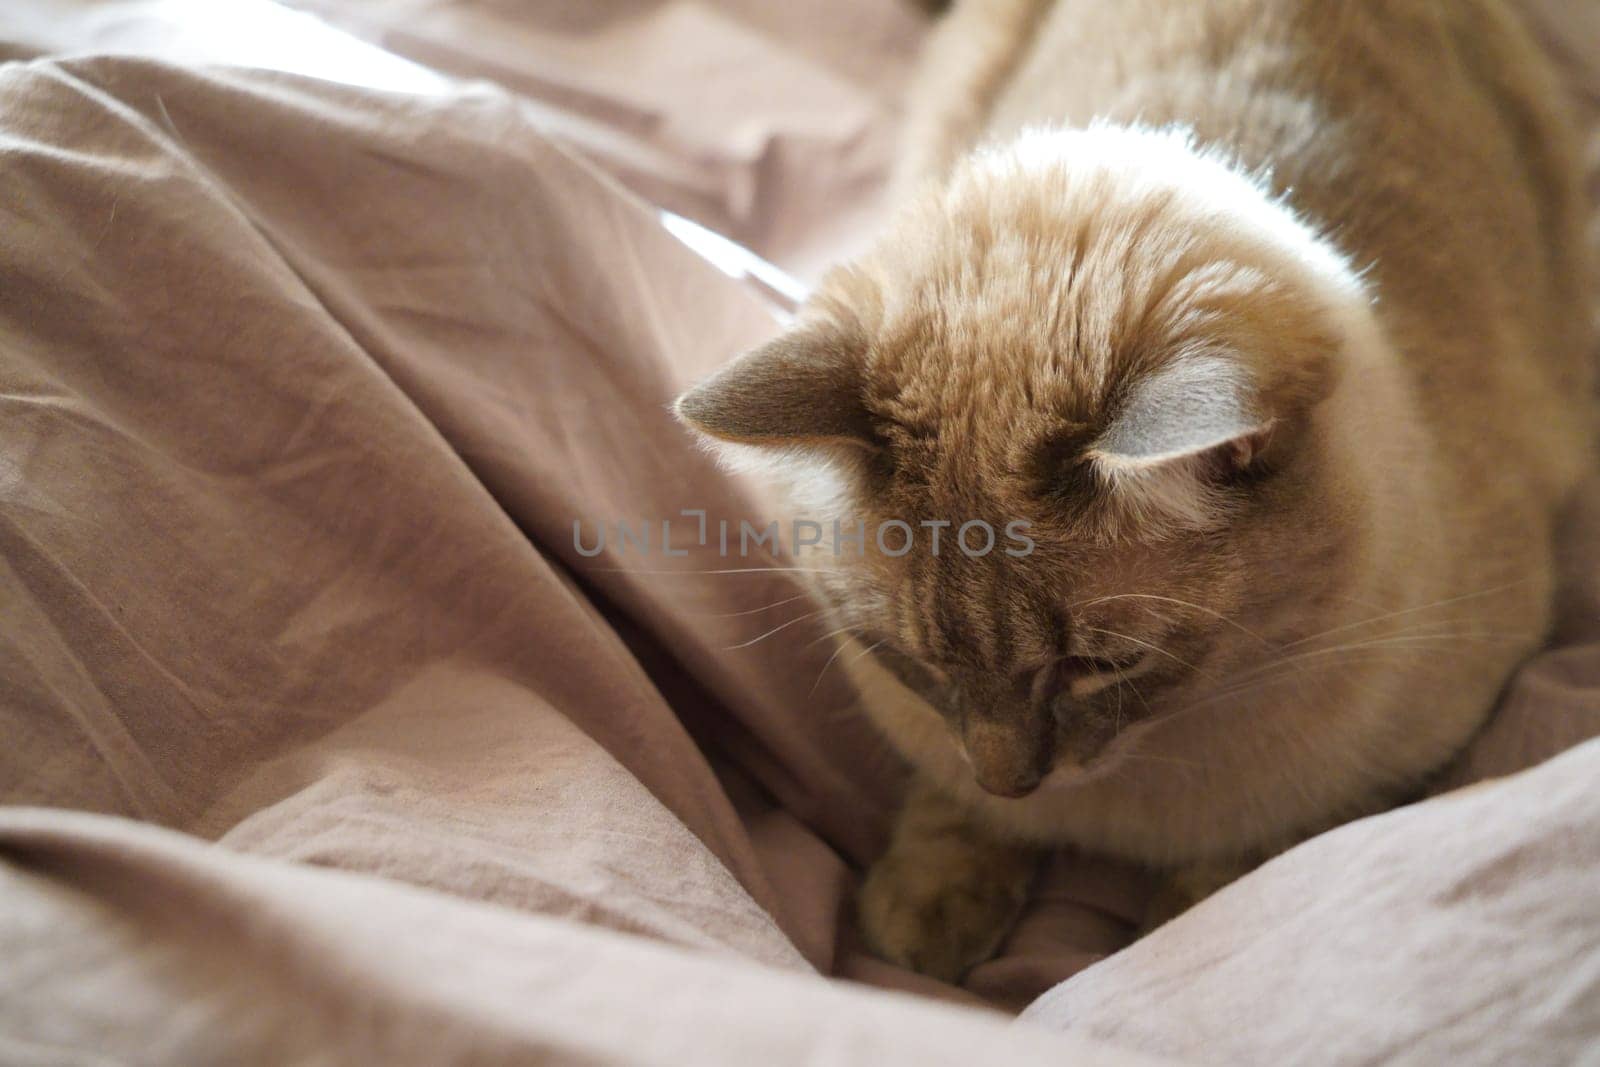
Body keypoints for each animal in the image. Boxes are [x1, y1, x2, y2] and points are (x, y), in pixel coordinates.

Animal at [672, 0, 1587, 985]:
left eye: (1098, 666)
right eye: (918, 661)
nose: (1013, 780)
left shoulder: (1409, 744)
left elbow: (1247, 866)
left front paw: (1179, 928)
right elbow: (947, 807)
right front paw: (929, 909)